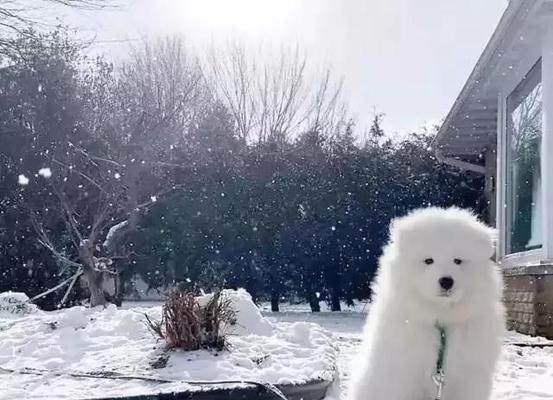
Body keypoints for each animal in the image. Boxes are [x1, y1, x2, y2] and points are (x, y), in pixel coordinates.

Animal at [350, 208, 504, 400]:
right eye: (429, 261)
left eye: (458, 261)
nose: (446, 281)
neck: (440, 321)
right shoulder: (403, 376)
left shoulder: (470, 378)